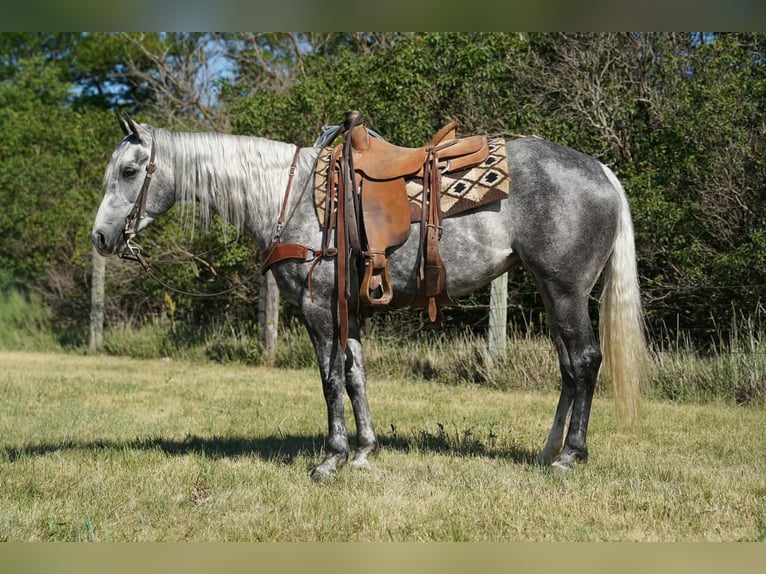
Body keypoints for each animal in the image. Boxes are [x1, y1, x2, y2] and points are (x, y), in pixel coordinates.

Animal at [92, 114, 648, 480]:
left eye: (129, 171)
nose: (100, 237)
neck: (288, 197)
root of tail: (601, 171)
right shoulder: (351, 313)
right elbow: (356, 376)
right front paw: (364, 451)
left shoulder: (318, 309)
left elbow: (329, 379)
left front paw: (332, 457)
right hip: (554, 294)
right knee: (568, 367)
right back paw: (548, 450)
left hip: (566, 290)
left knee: (585, 361)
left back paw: (571, 455)